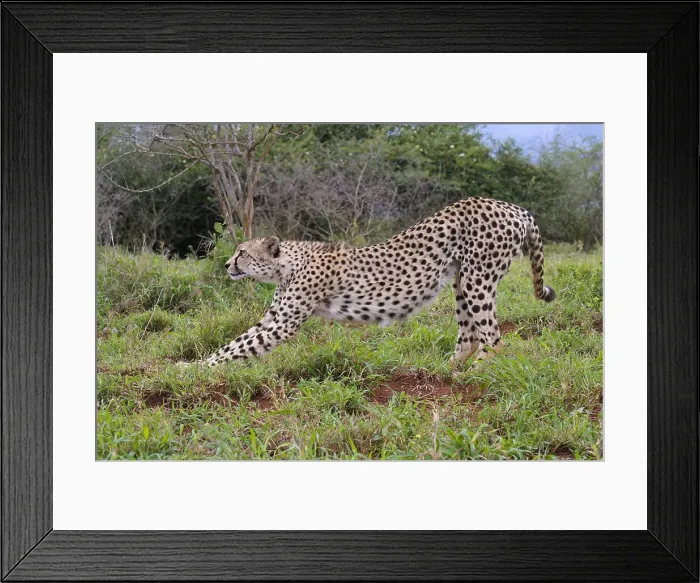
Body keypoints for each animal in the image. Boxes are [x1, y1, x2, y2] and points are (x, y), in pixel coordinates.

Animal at [203, 197, 555, 367]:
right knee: (469, 336)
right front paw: (196, 365)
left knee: (494, 338)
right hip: (461, 279)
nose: (226, 264)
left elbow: (241, 348)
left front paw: (199, 372)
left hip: (477, 278)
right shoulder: (274, 318)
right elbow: (234, 343)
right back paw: (448, 370)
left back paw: (477, 374)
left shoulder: (284, 323)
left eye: (242, 253)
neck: (287, 265)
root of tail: (511, 206)